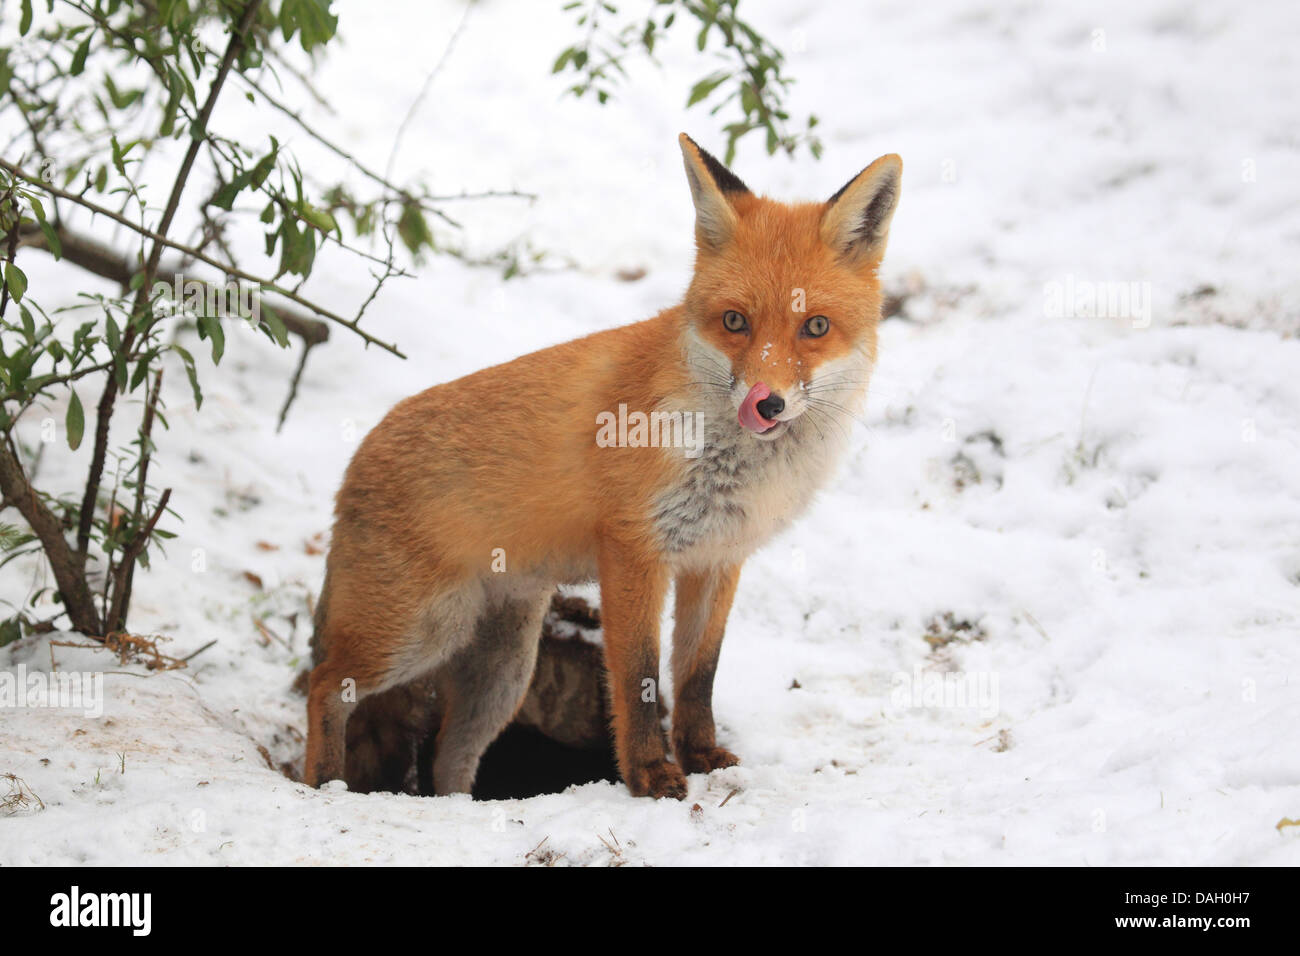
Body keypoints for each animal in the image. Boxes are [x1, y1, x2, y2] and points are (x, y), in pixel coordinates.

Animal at [305, 132, 899, 801]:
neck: (730, 466)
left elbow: (698, 675)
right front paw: (650, 776)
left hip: (502, 671)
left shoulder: (718, 559)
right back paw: (321, 782)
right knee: (324, 686)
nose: (765, 402)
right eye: (735, 321)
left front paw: (702, 757)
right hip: (421, 630)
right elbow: (639, 681)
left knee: (450, 761)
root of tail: (355, 461)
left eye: (815, 326)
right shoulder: (635, 551)